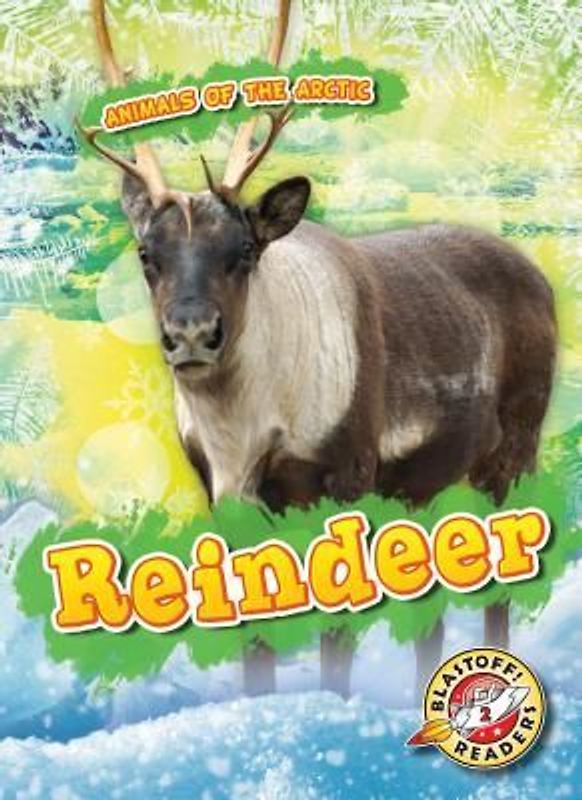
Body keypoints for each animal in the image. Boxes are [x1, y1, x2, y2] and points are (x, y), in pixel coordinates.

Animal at [81, 0, 556, 699]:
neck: (241, 436)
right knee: (433, 604)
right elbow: (253, 642)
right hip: (423, 484)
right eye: (146, 253)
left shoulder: (347, 476)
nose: (192, 333)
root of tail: (539, 277)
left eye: (244, 250)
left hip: (513, 452)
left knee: (500, 584)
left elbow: (337, 639)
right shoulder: (223, 493)